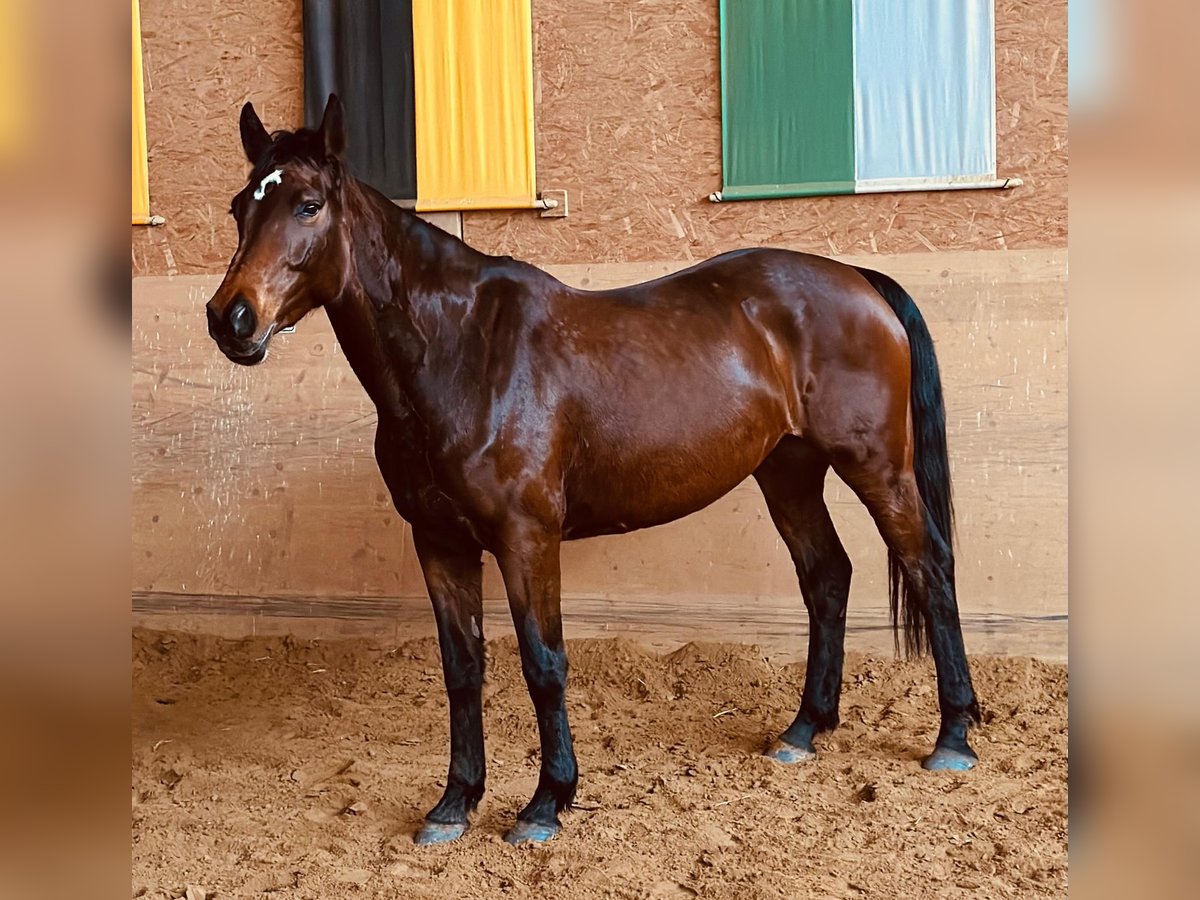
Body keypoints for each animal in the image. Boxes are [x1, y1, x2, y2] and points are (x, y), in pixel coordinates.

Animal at [206, 97, 979, 844]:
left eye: (308, 204)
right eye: (241, 206)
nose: (230, 319)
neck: (463, 351)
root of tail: (857, 279)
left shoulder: (526, 538)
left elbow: (543, 664)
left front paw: (547, 803)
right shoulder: (440, 542)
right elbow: (462, 669)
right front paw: (454, 804)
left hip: (876, 466)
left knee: (930, 567)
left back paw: (953, 736)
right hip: (787, 472)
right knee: (827, 576)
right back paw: (804, 730)